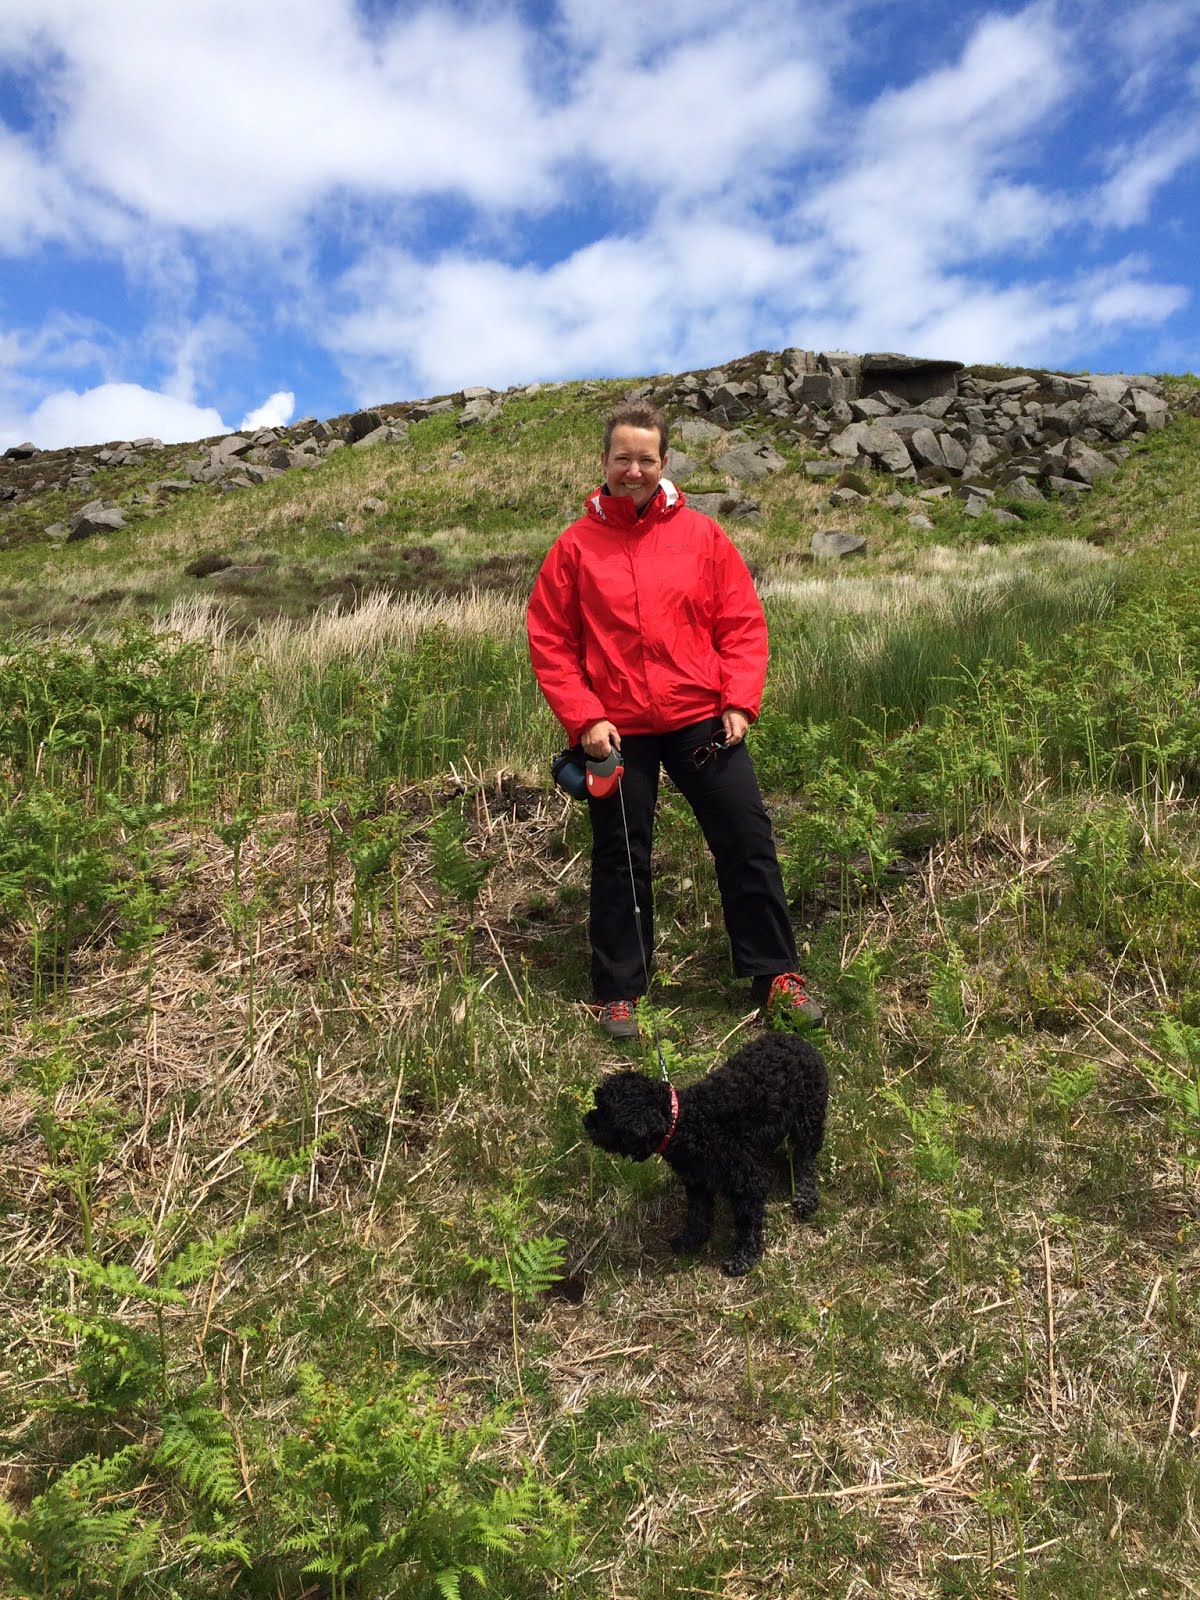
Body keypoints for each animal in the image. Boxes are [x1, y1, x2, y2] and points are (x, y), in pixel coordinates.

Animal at [582, 1030, 825, 1280]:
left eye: (606, 1111)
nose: (585, 1121)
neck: (684, 1124)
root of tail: (795, 1038)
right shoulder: (697, 1183)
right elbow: (698, 1216)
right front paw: (690, 1242)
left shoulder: (748, 1184)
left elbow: (748, 1224)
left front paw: (743, 1259)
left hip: (808, 1119)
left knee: (805, 1160)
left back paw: (805, 1198)